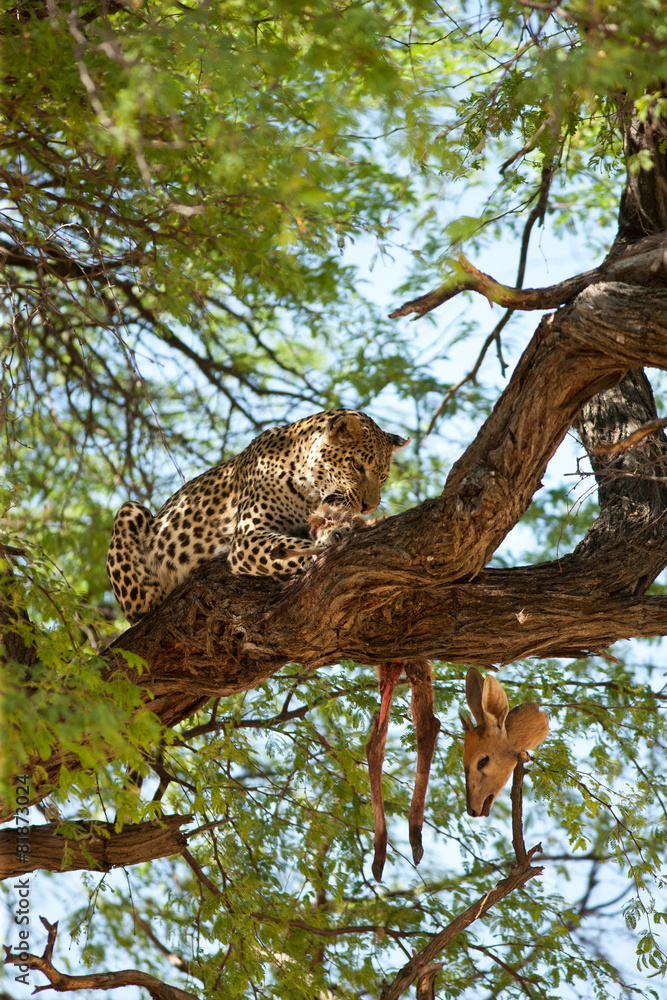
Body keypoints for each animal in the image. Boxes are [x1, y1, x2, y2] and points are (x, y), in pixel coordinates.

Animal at [106, 409, 408, 623]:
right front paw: (328, 543)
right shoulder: (247, 538)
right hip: (130, 511)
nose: (369, 506)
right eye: (357, 466)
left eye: (383, 476)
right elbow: (291, 548)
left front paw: (337, 531)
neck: (308, 487)